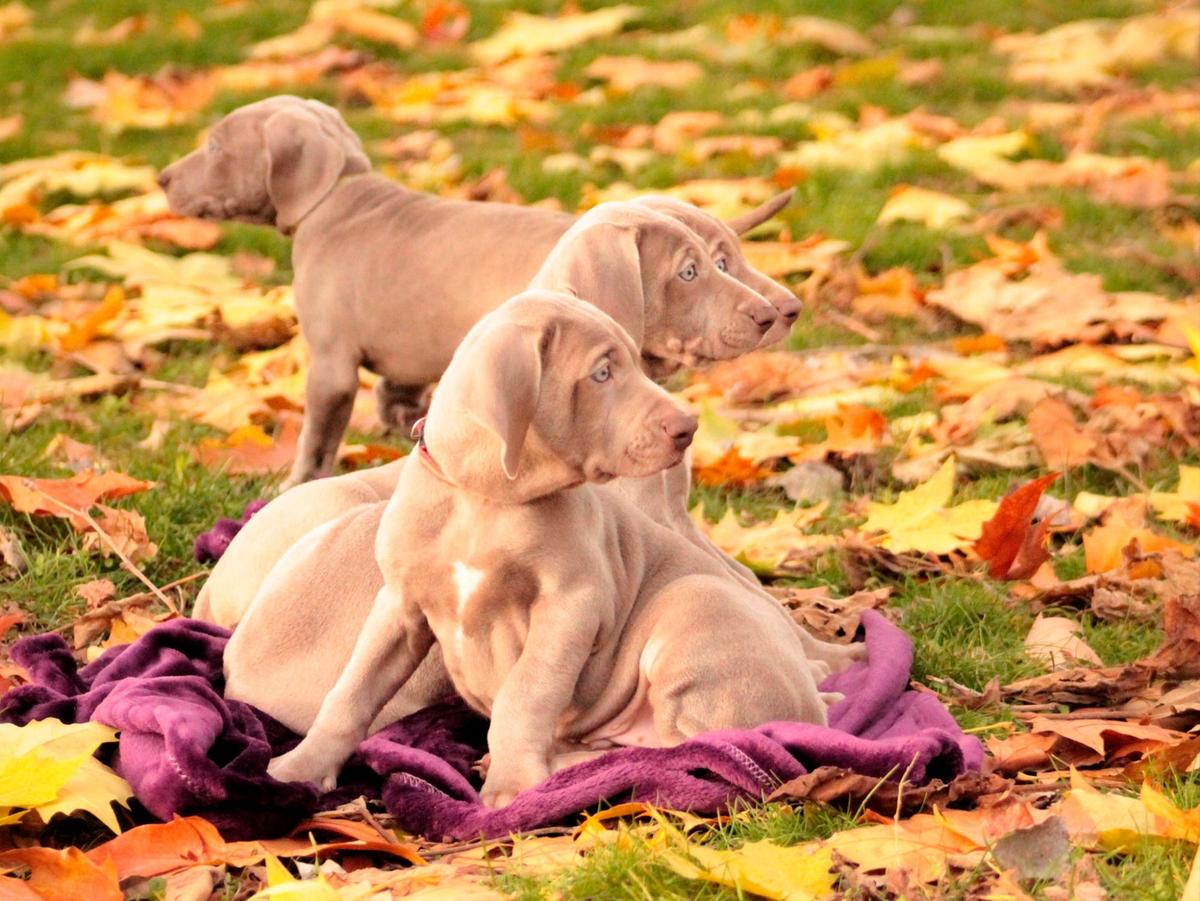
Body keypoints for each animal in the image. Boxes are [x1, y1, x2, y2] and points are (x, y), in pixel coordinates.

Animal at [159, 95, 796, 489]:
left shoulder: (331, 364)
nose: (162, 178)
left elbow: (317, 438)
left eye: (215, 147)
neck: (342, 194)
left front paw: (293, 484)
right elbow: (400, 396)